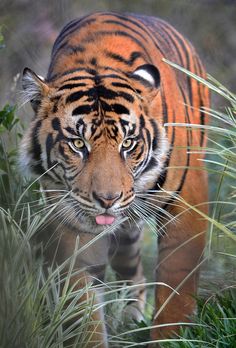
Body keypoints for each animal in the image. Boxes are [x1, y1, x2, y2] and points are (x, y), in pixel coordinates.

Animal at [19, 10, 209, 348]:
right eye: (78, 144)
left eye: (128, 144)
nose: (108, 200)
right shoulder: (71, 227)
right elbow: (83, 310)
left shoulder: (187, 208)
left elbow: (176, 293)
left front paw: (171, 338)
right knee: (132, 269)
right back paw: (132, 318)